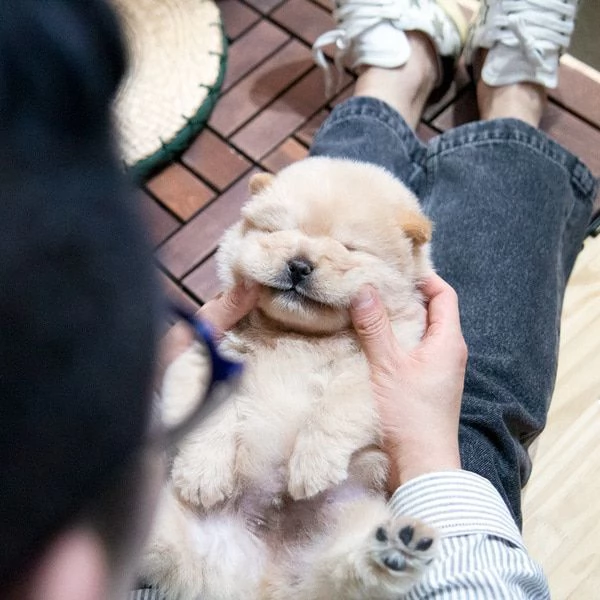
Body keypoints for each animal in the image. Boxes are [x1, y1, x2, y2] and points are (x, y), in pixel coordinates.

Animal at [142, 157, 440, 596]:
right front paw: (202, 477)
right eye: (276, 232)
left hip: (349, 523)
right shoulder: (208, 352)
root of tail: (264, 578)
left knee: (350, 571)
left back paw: (395, 550)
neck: (299, 334)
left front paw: (310, 467)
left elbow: (335, 408)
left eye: (349, 248)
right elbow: (210, 417)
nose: (299, 264)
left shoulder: (383, 368)